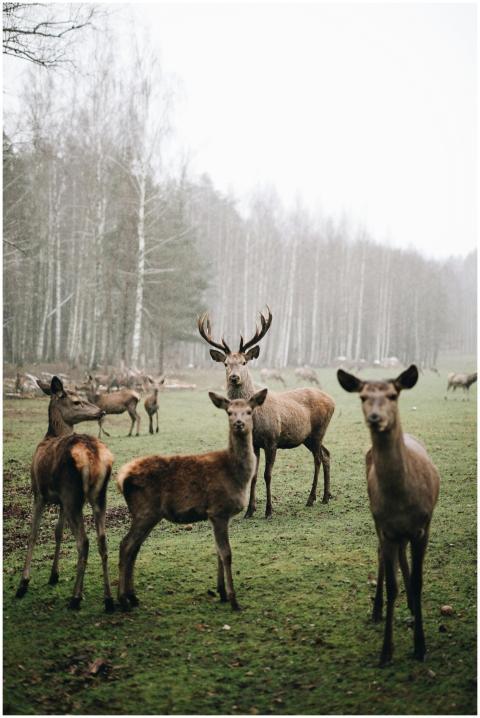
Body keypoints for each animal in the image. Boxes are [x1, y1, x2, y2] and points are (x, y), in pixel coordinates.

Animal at [15, 376, 115, 612]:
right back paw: (109, 600)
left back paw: (76, 597)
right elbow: (58, 532)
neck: (50, 435)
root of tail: (91, 457)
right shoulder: (59, 500)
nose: (101, 411)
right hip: (99, 496)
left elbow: (33, 534)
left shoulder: (39, 493)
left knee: (84, 542)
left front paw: (23, 583)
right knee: (102, 540)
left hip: (72, 495)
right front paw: (54, 575)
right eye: (77, 401)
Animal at [116, 388, 268, 612]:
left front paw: (221, 592)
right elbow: (226, 553)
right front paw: (234, 600)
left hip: (147, 514)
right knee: (125, 546)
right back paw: (121, 601)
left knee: (134, 548)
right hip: (145, 511)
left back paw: (132, 597)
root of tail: (122, 477)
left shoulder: (219, 515)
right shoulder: (218, 509)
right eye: (229, 412)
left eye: (249, 411)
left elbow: (218, 551)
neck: (236, 475)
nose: (239, 423)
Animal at [198, 307, 335, 518]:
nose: (234, 377)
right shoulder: (255, 444)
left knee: (318, 459)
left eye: (244, 362)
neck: (255, 420)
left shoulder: (272, 440)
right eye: (226, 363)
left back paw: (311, 499)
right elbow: (253, 476)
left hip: (318, 430)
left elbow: (267, 474)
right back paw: (326, 496)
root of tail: (332, 400)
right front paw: (249, 511)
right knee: (326, 454)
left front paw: (269, 510)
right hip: (308, 437)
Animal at [337, 364, 440, 666]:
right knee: (382, 553)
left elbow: (417, 582)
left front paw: (420, 647)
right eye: (362, 397)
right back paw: (377, 609)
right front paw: (386, 652)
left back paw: (412, 606)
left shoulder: (423, 526)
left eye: (393, 395)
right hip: (378, 523)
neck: (401, 500)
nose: (375, 418)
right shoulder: (385, 526)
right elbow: (393, 584)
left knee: (401, 556)